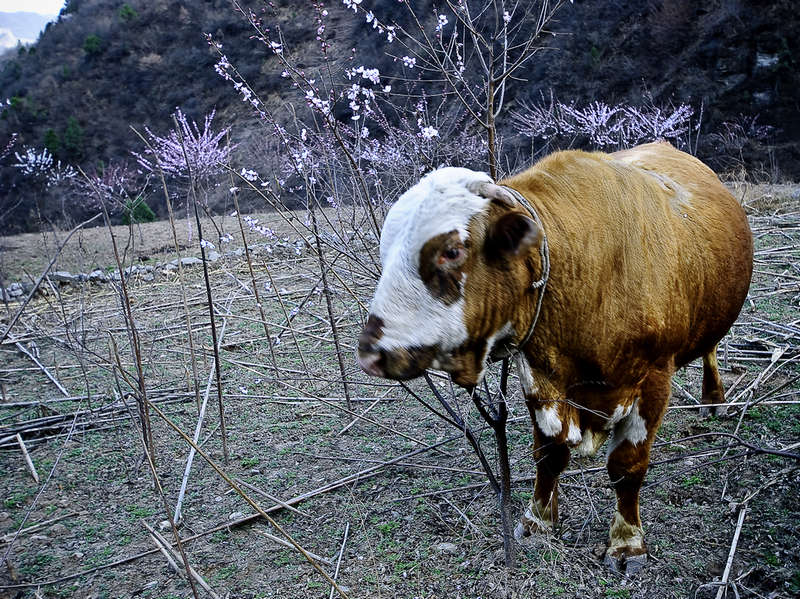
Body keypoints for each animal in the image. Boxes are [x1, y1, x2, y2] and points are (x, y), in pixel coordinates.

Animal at [360, 143, 752, 576]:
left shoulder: (653, 379)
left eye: (451, 251)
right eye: (385, 252)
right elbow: (549, 454)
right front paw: (538, 521)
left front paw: (627, 543)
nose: (371, 352)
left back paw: (714, 399)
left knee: (711, 348)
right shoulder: (541, 375)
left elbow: (627, 467)